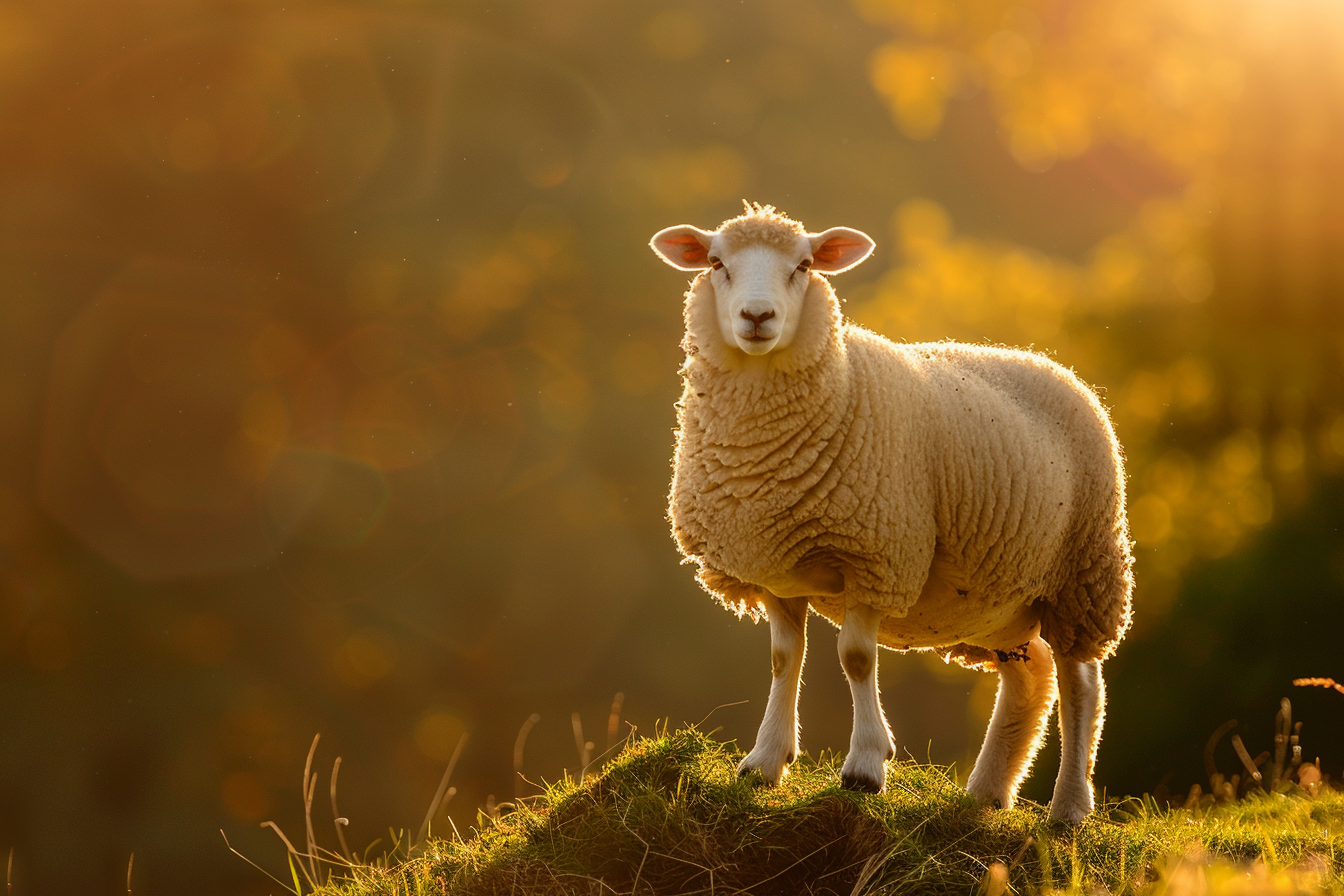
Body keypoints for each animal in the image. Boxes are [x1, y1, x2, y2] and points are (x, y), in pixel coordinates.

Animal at [649, 203, 1133, 823]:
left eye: (803, 266)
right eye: (716, 263)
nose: (758, 317)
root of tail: (1049, 363)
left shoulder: (875, 558)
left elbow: (856, 658)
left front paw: (865, 767)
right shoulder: (777, 568)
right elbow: (785, 659)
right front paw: (765, 761)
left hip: (1083, 573)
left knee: (1081, 684)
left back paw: (1069, 807)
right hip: (999, 604)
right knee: (1033, 676)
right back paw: (986, 792)